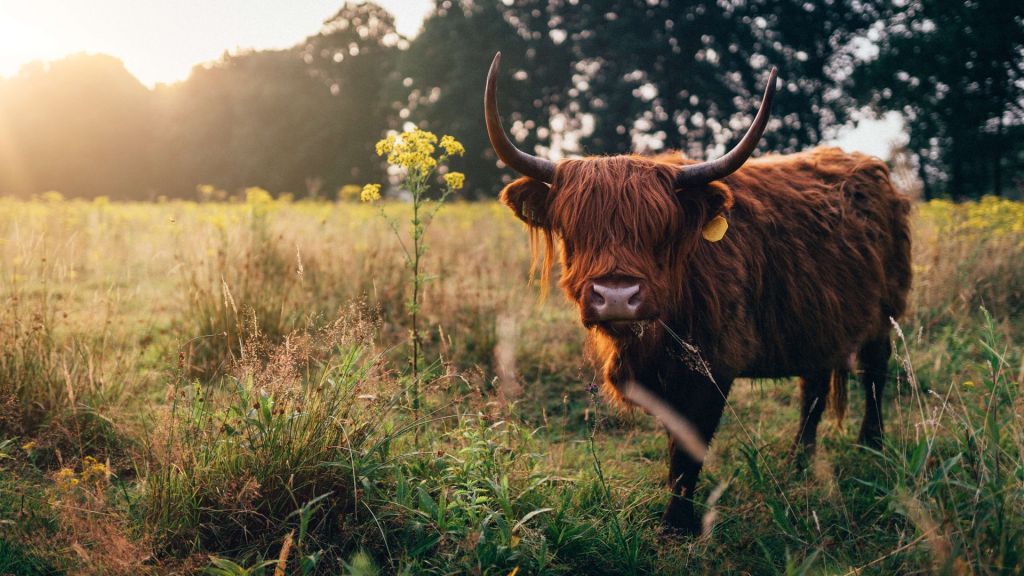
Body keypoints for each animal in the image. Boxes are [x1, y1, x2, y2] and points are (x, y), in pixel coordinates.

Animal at [483, 51, 917, 532]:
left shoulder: (714, 368)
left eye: (661, 231)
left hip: (884, 313)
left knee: (875, 374)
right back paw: (799, 463)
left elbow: (690, 447)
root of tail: (869, 167)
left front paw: (677, 524)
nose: (616, 296)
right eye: (574, 231)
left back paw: (870, 448)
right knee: (815, 387)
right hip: (816, 318)